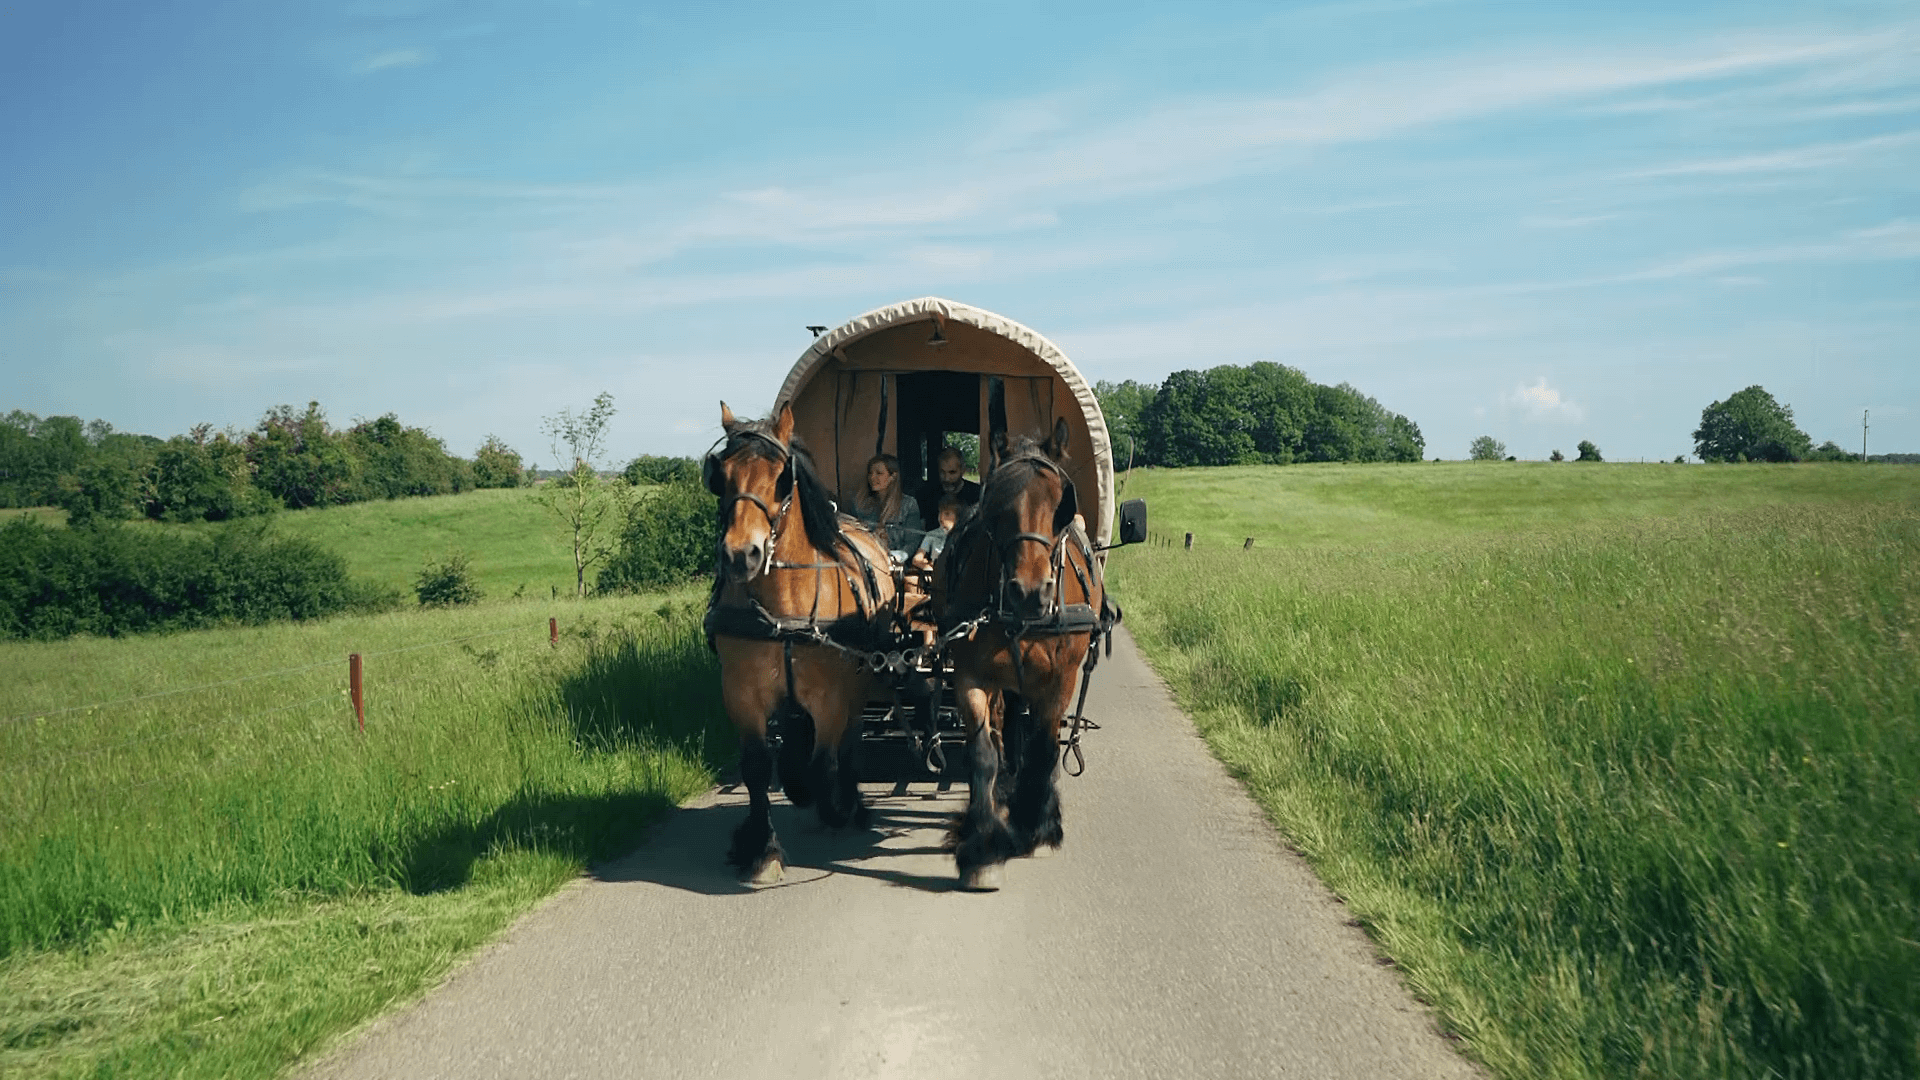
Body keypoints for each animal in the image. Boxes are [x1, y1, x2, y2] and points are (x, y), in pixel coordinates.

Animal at [702, 399, 894, 880]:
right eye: (720, 475)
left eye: (780, 476)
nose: (740, 555)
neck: (783, 609)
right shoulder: (742, 692)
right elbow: (756, 767)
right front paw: (761, 848)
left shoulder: (831, 696)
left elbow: (824, 762)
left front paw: (834, 808)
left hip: (859, 685)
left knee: (849, 744)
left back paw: (852, 804)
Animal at [940, 417, 1121, 887]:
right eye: (995, 505)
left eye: (1062, 505)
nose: (1029, 593)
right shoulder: (971, 675)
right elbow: (983, 753)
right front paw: (981, 848)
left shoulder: (1060, 680)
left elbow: (1043, 750)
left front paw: (1036, 828)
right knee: (1005, 729)